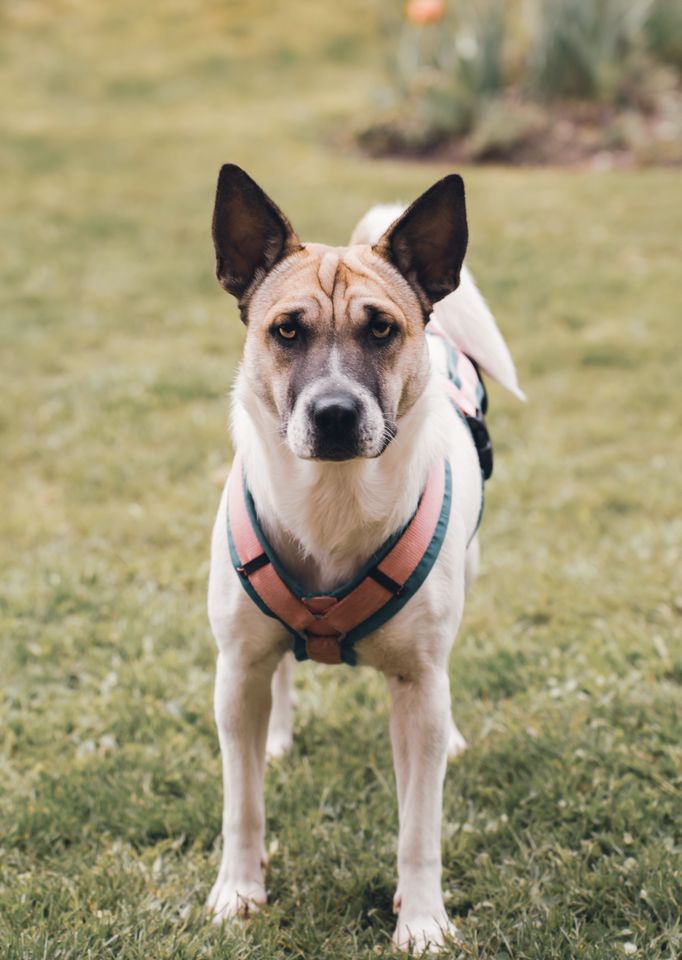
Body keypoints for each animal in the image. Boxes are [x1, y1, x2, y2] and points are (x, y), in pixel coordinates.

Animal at [205, 165, 524, 952]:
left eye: (381, 328)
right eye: (286, 330)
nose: (335, 413)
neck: (334, 502)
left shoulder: (416, 688)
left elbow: (419, 827)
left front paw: (423, 921)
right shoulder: (234, 672)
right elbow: (242, 803)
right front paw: (238, 891)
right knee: (281, 674)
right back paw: (279, 736)